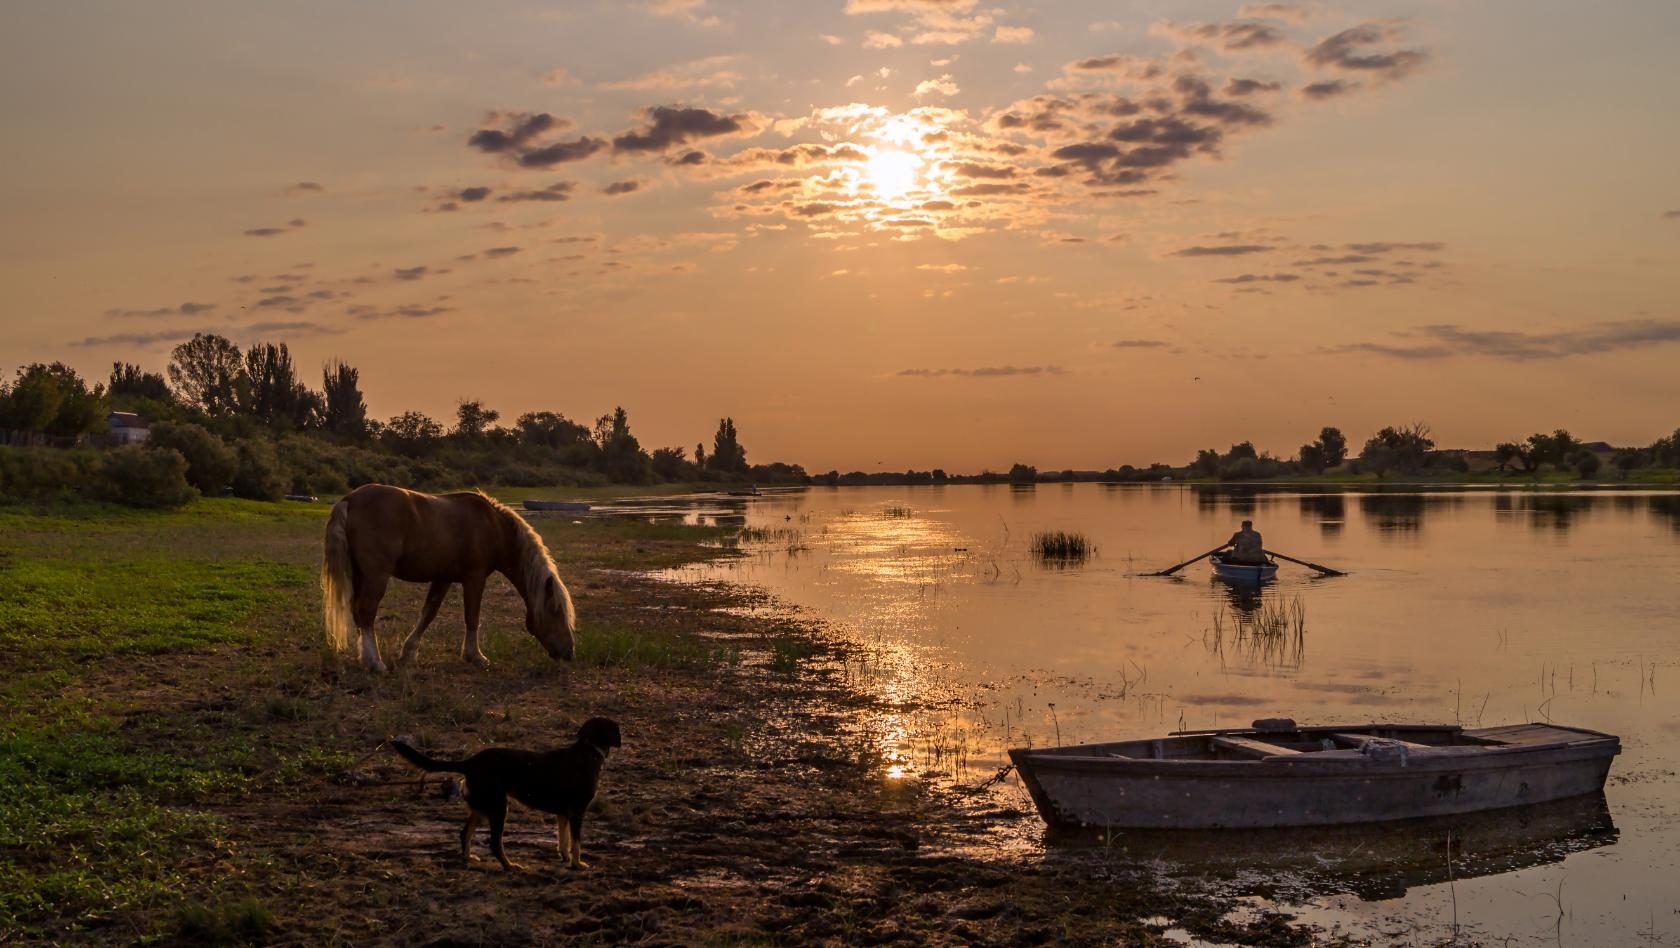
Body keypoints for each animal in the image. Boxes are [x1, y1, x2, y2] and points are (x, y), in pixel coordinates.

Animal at [319, 484, 577, 668]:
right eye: (556, 611)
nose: (569, 652)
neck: (494, 526)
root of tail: (349, 500)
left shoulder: (443, 578)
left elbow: (428, 613)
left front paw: (409, 652)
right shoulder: (475, 578)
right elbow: (472, 617)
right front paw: (475, 656)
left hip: (360, 574)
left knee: (357, 612)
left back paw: (365, 658)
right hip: (376, 575)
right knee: (366, 611)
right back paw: (375, 662)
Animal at [388, 716, 624, 867]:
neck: (588, 751)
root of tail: (470, 762)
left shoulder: (563, 814)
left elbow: (563, 841)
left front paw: (565, 859)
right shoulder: (577, 812)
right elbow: (576, 843)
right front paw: (577, 864)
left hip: (483, 807)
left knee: (465, 833)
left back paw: (468, 858)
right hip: (499, 807)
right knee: (495, 843)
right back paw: (510, 866)